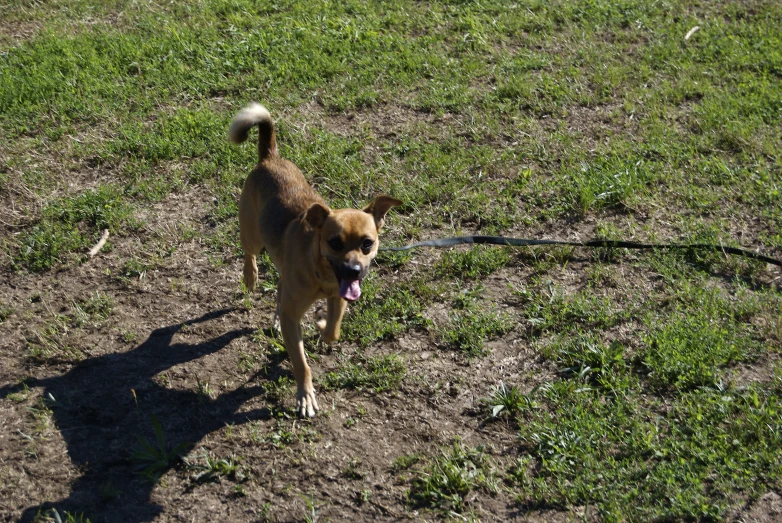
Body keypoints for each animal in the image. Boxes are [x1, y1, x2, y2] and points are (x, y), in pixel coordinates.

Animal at [228, 105, 402, 418]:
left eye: (367, 243)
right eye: (334, 242)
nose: (354, 271)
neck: (322, 274)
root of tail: (270, 157)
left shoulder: (339, 297)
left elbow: (333, 329)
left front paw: (321, 324)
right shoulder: (293, 317)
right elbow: (300, 362)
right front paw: (306, 396)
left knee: (280, 287)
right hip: (252, 234)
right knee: (250, 253)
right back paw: (250, 276)